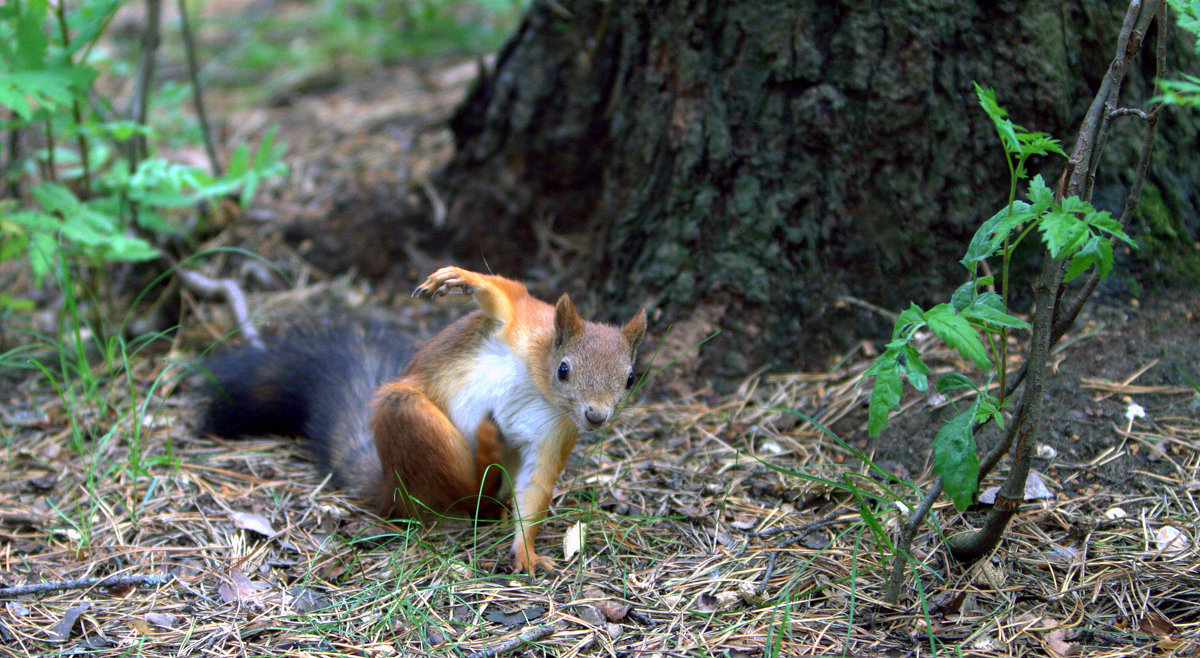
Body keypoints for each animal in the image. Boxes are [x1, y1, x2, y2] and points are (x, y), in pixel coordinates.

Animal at [200, 264, 648, 573]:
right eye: (564, 369)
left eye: (630, 379)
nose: (595, 416)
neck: (539, 381)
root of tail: (392, 488)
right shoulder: (521, 320)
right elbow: (504, 292)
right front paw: (457, 278)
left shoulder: (555, 432)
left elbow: (535, 489)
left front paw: (526, 552)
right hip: (409, 414)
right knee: (461, 494)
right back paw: (484, 458)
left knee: (480, 503)